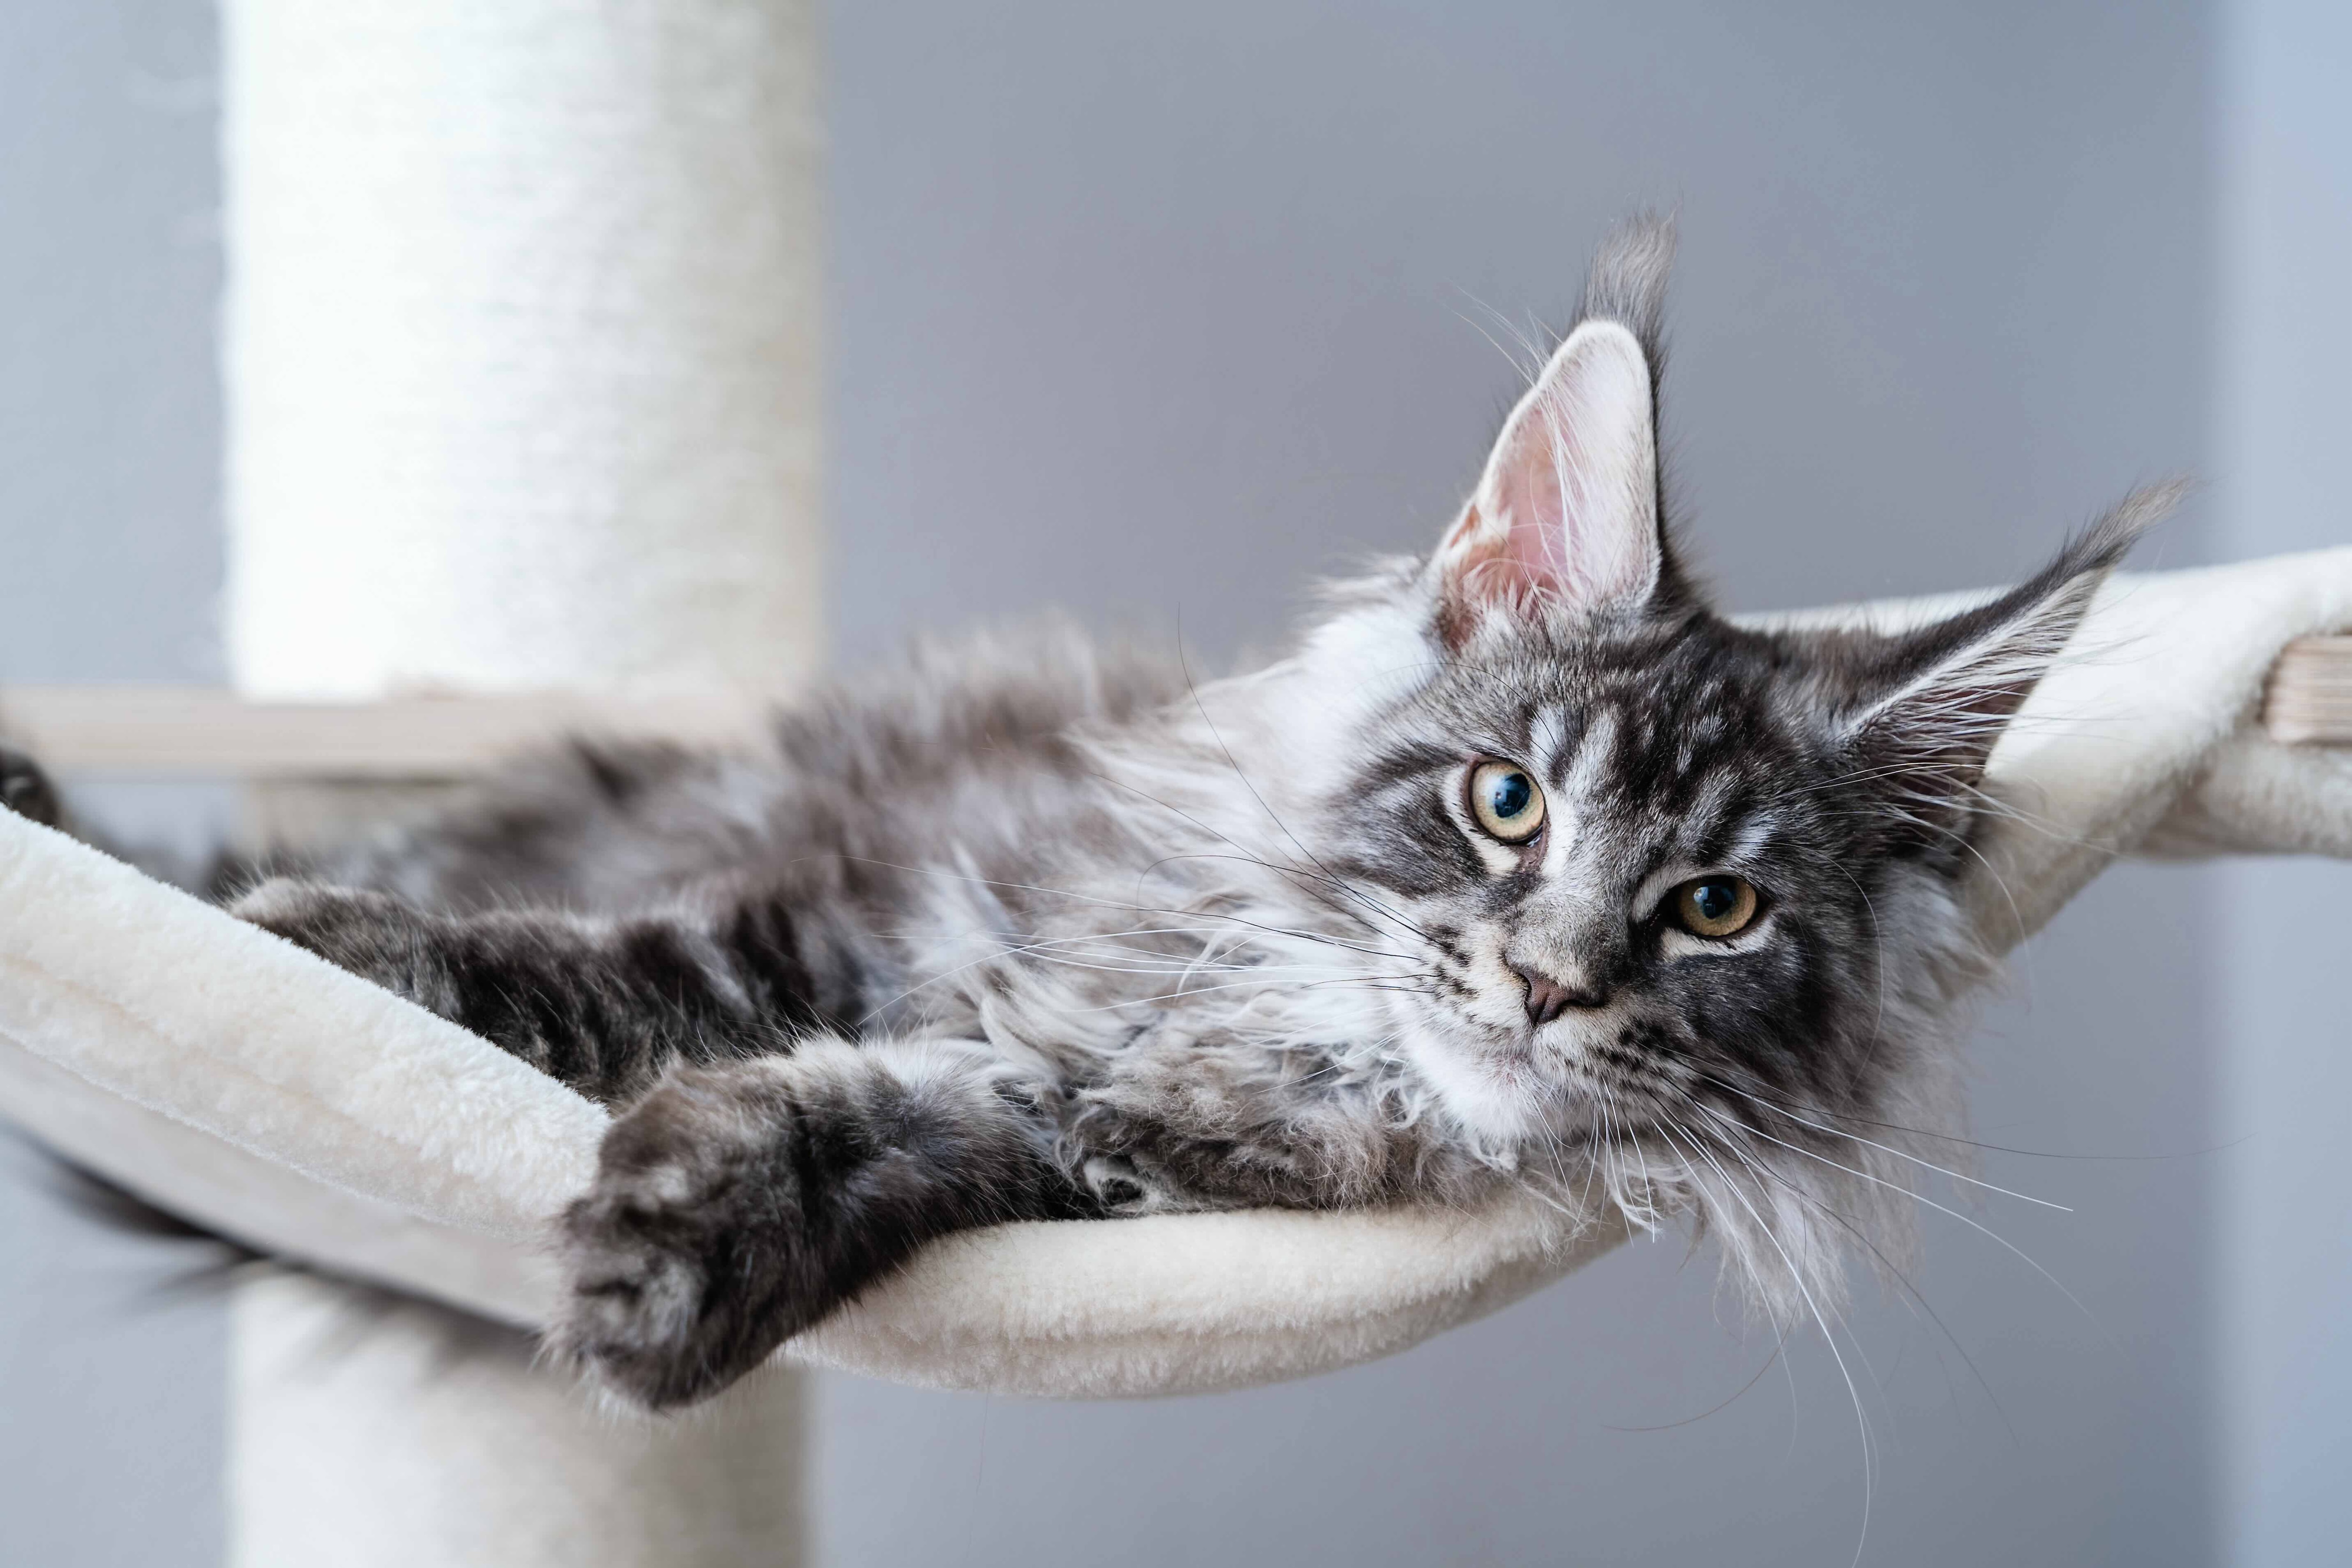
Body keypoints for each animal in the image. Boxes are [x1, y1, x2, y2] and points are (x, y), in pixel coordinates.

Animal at [0, 217, 2164, 1410]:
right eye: (1502, 801)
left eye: (1714, 907)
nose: (1550, 984)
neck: (1293, 1032)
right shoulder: (878, 897)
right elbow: (607, 969)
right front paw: (334, 950)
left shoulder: (1081, 1156)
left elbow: (874, 1134)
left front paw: (679, 1260)